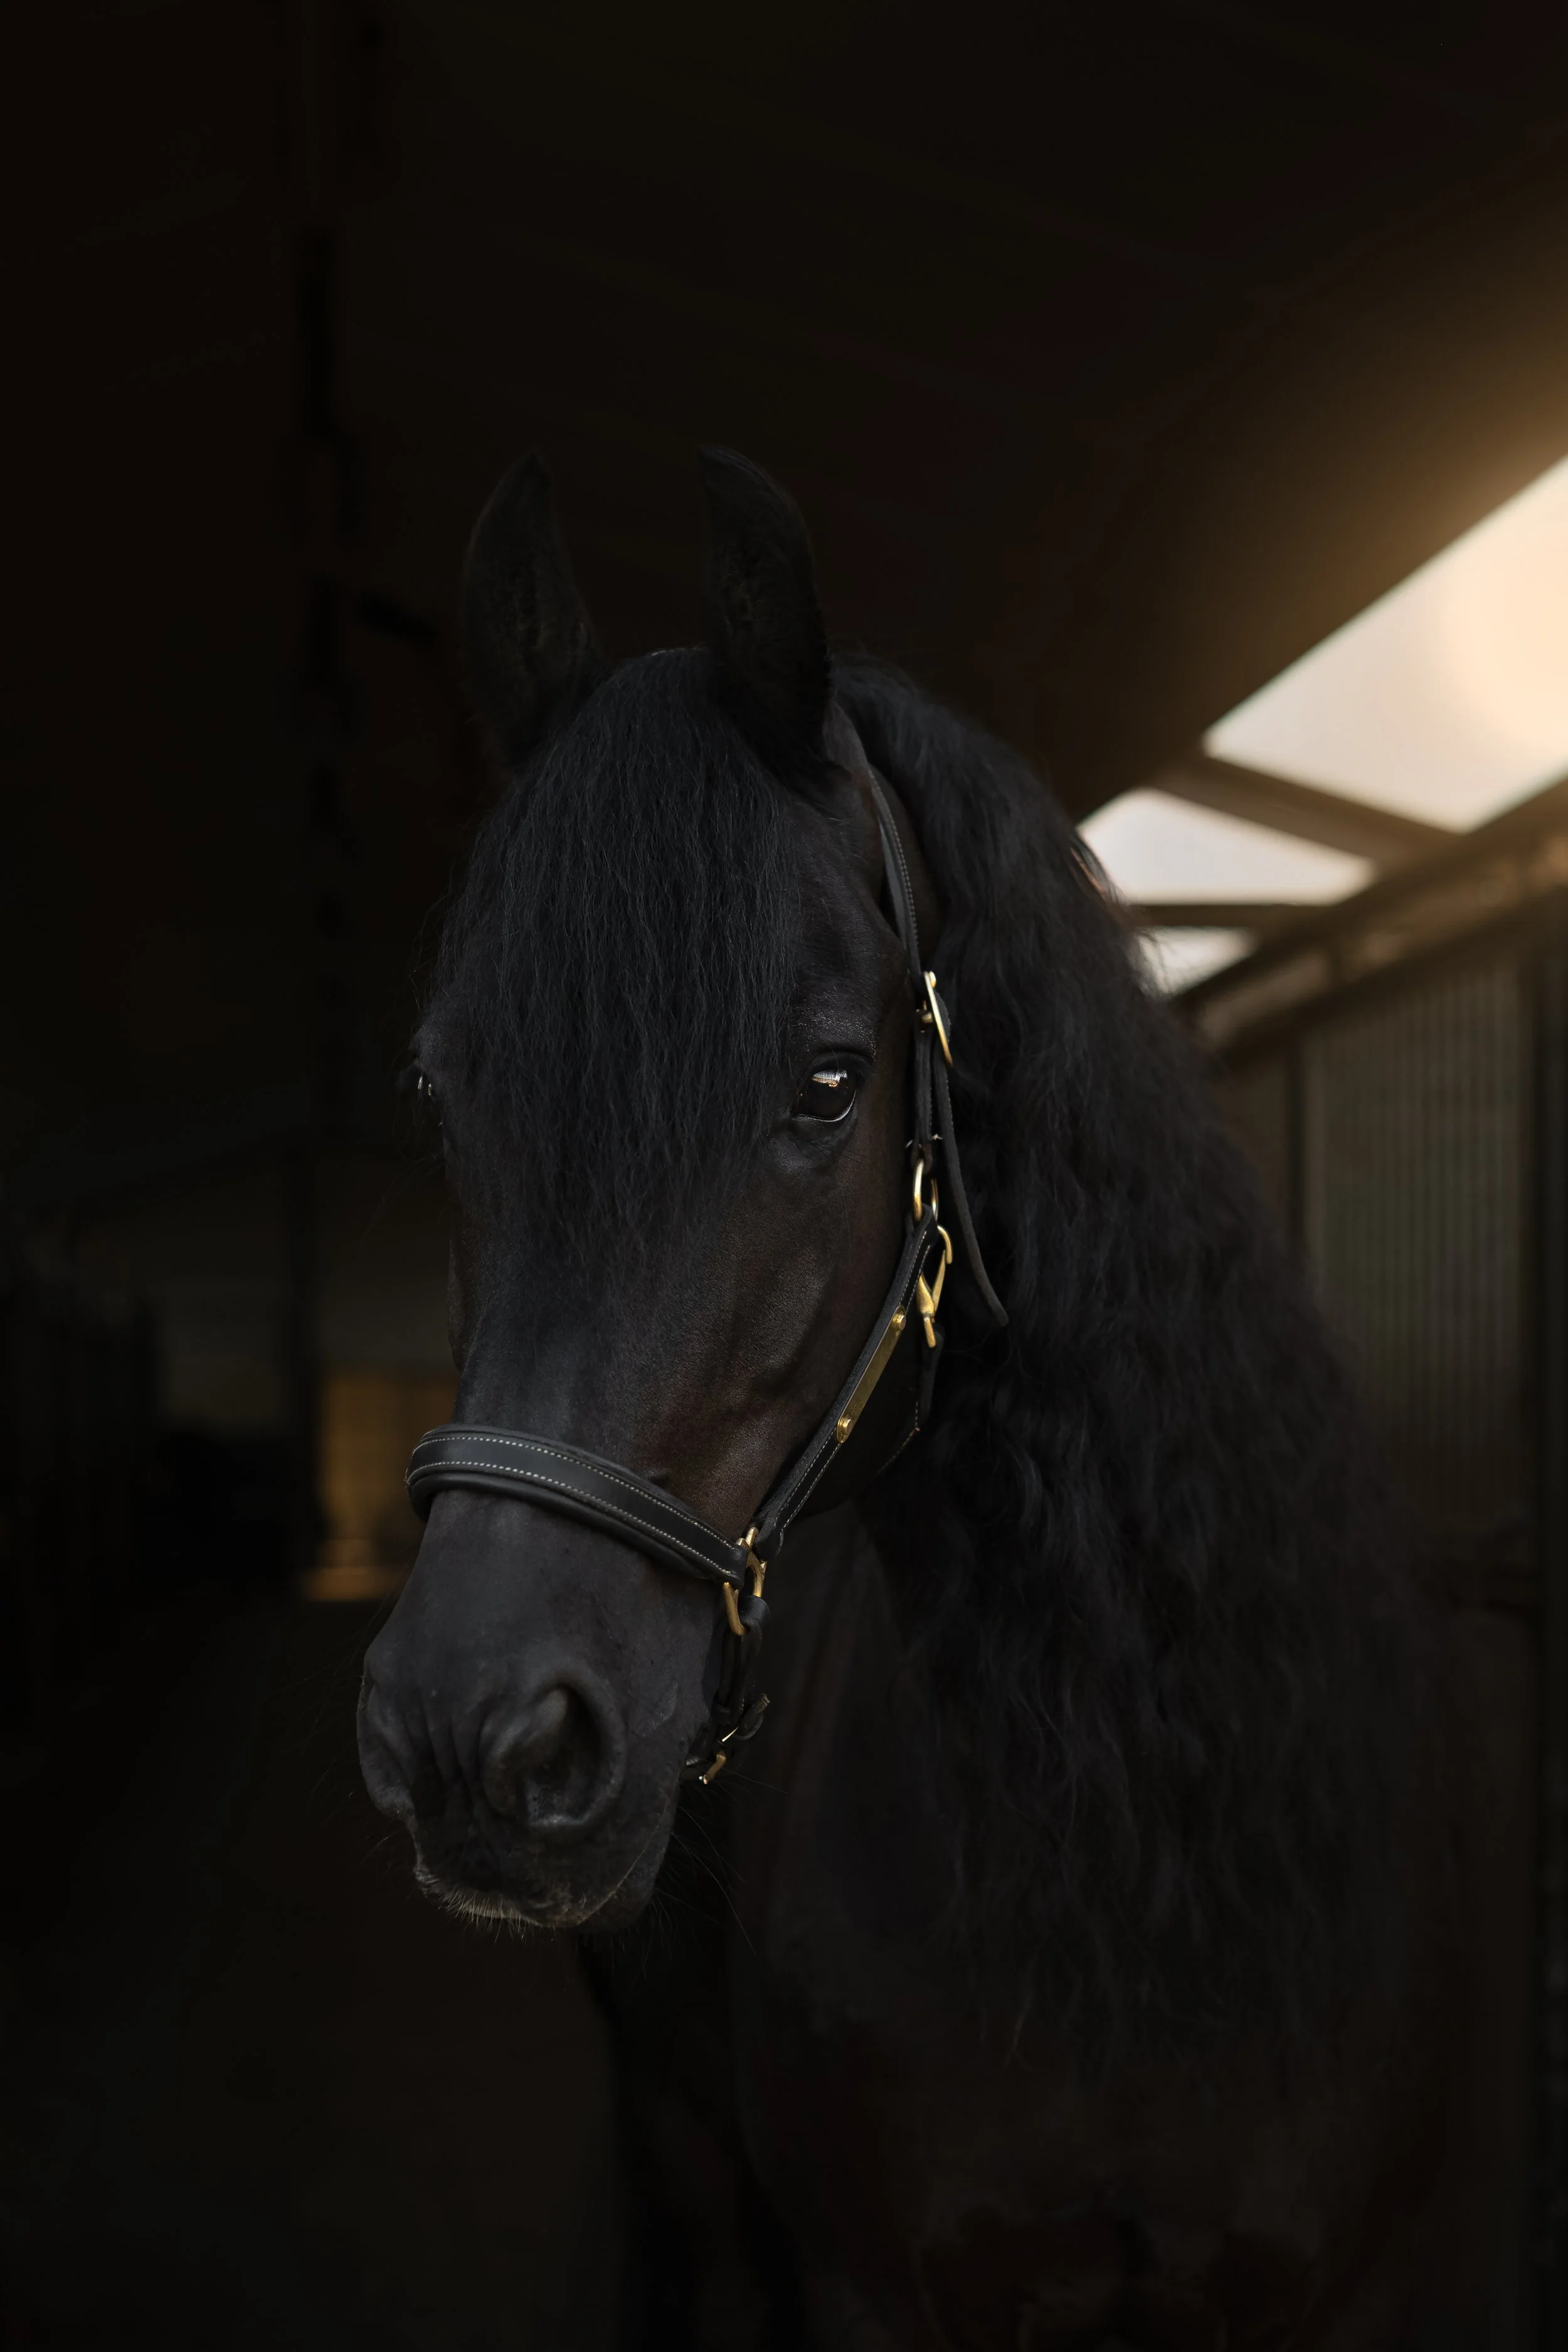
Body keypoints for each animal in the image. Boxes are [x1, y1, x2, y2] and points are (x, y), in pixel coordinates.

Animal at [358, 449, 1488, 2347]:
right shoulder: (872, 2284)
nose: (472, 1734)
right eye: (445, 1090)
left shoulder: (1357, 2279)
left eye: (828, 1079)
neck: (1144, 1858)